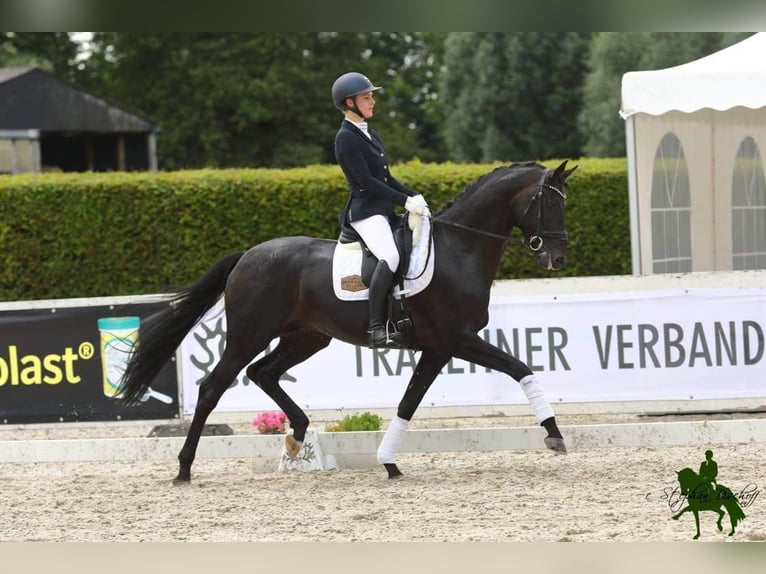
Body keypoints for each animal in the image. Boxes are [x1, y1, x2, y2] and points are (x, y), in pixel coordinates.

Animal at [118, 160, 576, 484]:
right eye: (551, 203)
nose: (557, 258)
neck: (457, 248)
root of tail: (247, 255)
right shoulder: (455, 339)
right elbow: (519, 367)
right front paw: (554, 433)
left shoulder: (437, 348)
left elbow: (409, 403)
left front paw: (388, 462)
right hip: (250, 334)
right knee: (214, 385)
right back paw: (184, 468)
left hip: (306, 338)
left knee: (263, 372)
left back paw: (297, 433)